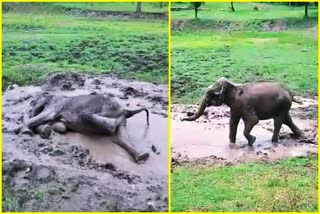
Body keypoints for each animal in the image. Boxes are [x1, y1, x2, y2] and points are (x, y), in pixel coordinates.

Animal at [22, 93, 150, 163]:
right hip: (120, 118)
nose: (30, 109)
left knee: (88, 116)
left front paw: (24, 129)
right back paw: (142, 156)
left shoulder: (55, 105)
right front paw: (46, 130)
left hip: (107, 107)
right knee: (121, 137)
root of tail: (124, 109)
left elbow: (47, 116)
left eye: (32, 102)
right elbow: (61, 126)